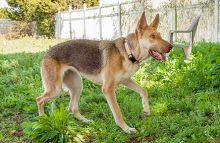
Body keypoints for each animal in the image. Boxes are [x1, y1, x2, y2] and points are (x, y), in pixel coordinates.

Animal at [36, 11, 172, 134]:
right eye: (152, 36)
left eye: (160, 35)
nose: (171, 47)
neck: (128, 52)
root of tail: (48, 51)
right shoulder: (108, 89)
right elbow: (118, 113)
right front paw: (126, 129)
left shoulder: (126, 81)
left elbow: (144, 91)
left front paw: (146, 109)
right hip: (56, 90)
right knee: (39, 99)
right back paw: (42, 121)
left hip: (77, 86)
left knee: (72, 108)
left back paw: (85, 121)